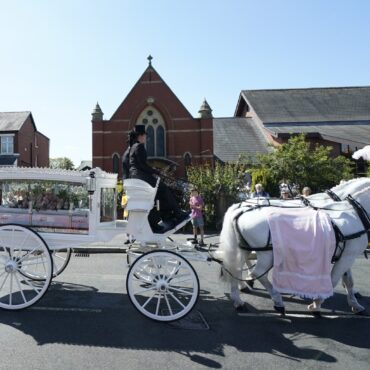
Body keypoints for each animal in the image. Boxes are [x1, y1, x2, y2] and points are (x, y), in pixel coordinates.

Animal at [218, 179, 368, 316]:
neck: (353, 212)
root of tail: (240, 208)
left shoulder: (347, 254)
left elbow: (349, 280)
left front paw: (355, 304)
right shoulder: (347, 256)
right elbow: (334, 279)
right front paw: (316, 304)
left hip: (244, 248)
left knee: (235, 268)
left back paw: (239, 299)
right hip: (267, 254)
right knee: (258, 273)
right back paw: (276, 300)